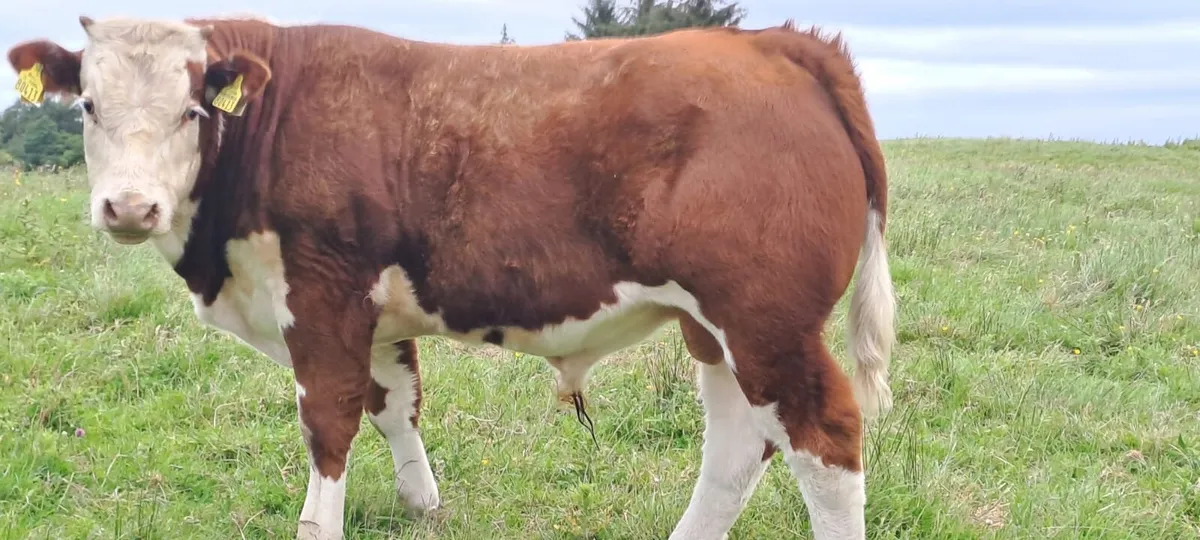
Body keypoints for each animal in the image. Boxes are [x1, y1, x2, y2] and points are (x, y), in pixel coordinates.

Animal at [7, 14, 896, 540]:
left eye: (192, 109)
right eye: (86, 105)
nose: (130, 205)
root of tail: (775, 41)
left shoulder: (322, 295)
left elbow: (329, 422)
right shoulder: (372, 310)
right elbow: (393, 402)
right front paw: (422, 504)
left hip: (765, 320)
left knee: (824, 442)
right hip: (714, 327)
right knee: (739, 442)